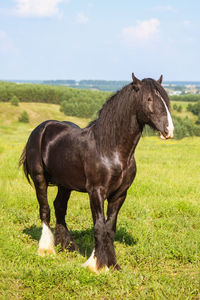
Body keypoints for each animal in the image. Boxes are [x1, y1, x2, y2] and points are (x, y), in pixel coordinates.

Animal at [19, 72, 174, 272]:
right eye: (149, 99)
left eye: (165, 99)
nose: (169, 130)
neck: (111, 149)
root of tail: (41, 128)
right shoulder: (96, 192)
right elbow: (99, 227)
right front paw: (95, 265)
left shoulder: (119, 195)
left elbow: (109, 228)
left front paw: (112, 264)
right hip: (40, 179)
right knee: (45, 210)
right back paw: (46, 249)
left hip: (65, 184)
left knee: (59, 207)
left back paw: (68, 246)